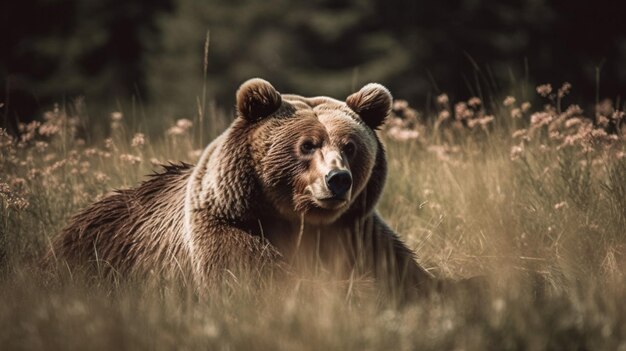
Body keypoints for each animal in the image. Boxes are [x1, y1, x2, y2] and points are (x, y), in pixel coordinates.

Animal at [50, 78, 434, 302]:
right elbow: (258, 284)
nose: (338, 179)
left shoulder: (355, 232)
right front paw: (359, 290)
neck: (297, 222)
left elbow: (410, 276)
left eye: (350, 146)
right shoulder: (226, 228)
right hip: (98, 250)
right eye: (307, 145)